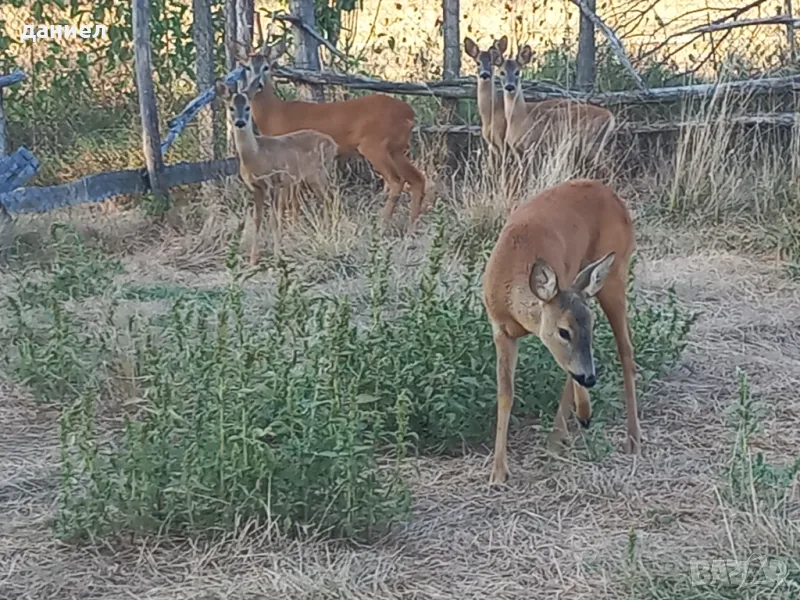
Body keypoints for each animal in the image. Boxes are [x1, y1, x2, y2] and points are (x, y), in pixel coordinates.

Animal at [214, 77, 336, 264]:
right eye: (231, 108)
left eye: (248, 107)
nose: (240, 122)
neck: (256, 155)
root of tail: (334, 144)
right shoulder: (256, 187)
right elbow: (257, 220)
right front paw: (252, 260)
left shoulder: (274, 183)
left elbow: (274, 220)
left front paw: (277, 256)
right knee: (329, 198)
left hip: (317, 173)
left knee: (329, 199)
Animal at [238, 38, 428, 230]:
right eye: (247, 67)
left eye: (266, 67)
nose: (256, 85)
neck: (275, 114)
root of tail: (409, 114)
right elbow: (294, 201)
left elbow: (291, 201)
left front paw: (292, 228)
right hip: (396, 149)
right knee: (417, 178)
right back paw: (412, 227)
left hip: (375, 145)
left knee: (396, 181)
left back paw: (382, 224)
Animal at [482, 177, 644, 482]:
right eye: (564, 331)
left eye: (588, 326)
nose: (590, 378)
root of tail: (613, 195)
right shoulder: (499, 329)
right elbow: (505, 393)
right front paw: (498, 471)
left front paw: (583, 413)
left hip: (614, 275)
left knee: (626, 349)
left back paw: (630, 438)